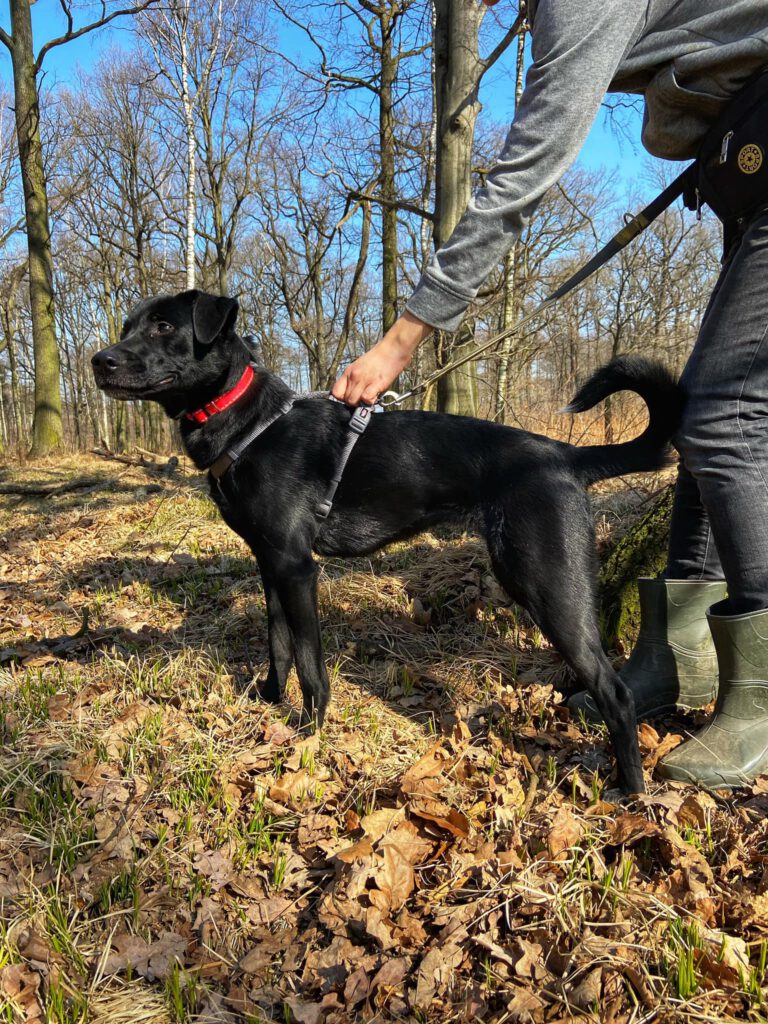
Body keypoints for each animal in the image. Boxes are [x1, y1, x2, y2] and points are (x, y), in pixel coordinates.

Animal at [91, 288, 684, 790]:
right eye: (126, 327)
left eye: (164, 325)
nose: (100, 360)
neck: (250, 424)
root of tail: (567, 455)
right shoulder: (269, 564)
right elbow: (277, 646)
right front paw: (268, 701)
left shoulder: (297, 568)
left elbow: (309, 663)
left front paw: (309, 733)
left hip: (546, 584)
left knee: (616, 693)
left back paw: (630, 795)